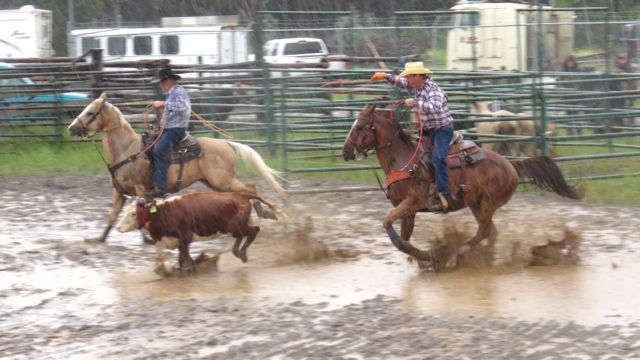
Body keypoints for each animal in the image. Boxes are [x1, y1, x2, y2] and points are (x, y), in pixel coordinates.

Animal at [342, 103, 584, 270]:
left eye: (360, 126)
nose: (345, 152)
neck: (404, 160)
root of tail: (510, 164)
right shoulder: (408, 211)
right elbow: (403, 237)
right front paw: (423, 260)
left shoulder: (412, 202)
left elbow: (389, 225)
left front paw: (429, 257)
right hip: (477, 204)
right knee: (489, 233)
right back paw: (482, 259)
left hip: (487, 203)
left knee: (484, 231)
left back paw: (455, 257)